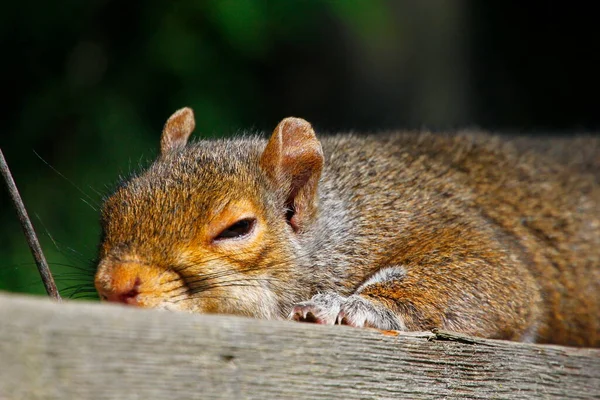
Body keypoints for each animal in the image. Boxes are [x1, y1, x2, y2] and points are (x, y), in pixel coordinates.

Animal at [94, 106, 600, 346]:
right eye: (110, 209)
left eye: (237, 228)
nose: (114, 285)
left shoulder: (425, 218)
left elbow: (501, 277)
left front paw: (348, 305)